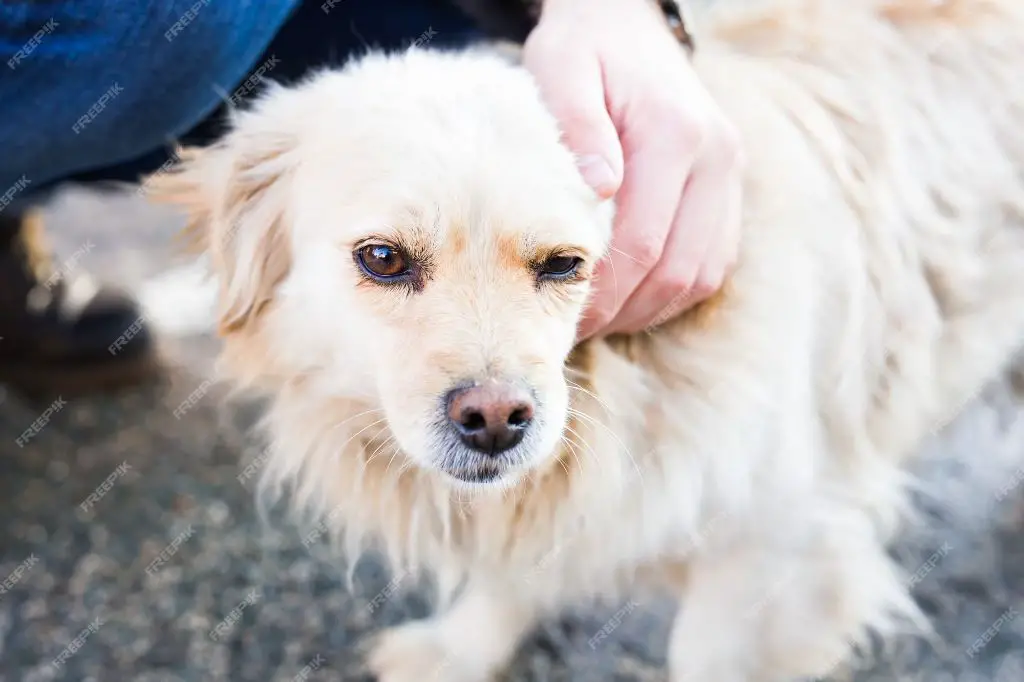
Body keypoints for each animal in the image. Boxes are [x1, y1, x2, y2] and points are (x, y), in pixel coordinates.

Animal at [148, 1, 1024, 679]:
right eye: (383, 258)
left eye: (565, 264)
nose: (496, 422)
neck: (630, 375)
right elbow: (509, 570)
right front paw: (461, 647)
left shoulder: (778, 552)